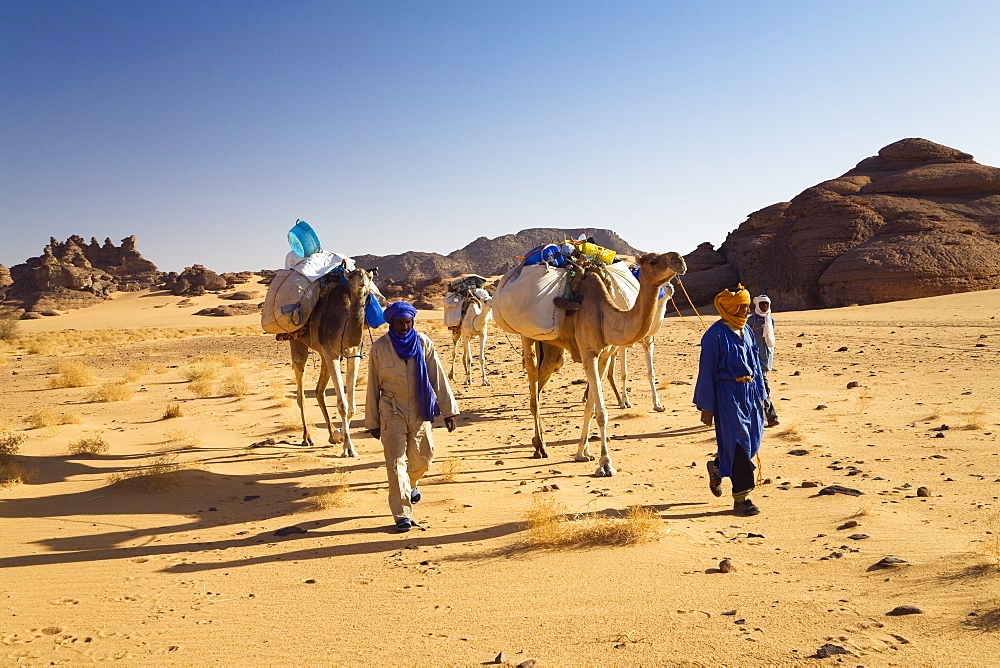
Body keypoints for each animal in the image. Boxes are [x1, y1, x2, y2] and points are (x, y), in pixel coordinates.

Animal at [290, 264, 376, 456]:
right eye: (352, 276)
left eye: (369, 277)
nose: (362, 282)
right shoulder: (331, 353)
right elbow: (342, 404)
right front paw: (348, 448)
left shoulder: (353, 353)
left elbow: (352, 406)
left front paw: (341, 436)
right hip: (297, 340)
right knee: (301, 391)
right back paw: (307, 438)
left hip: (323, 353)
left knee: (318, 391)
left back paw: (331, 434)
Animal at [516, 250, 688, 474]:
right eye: (652, 260)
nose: (679, 259)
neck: (604, 315)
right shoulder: (589, 353)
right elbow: (601, 411)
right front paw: (605, 463)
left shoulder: (604, 356)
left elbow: (590, 407)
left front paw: (583, 453)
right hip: (528, 334)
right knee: (533, 384)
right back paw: (541, 447)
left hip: (551, 347)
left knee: (543, 376)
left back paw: (539, 442)